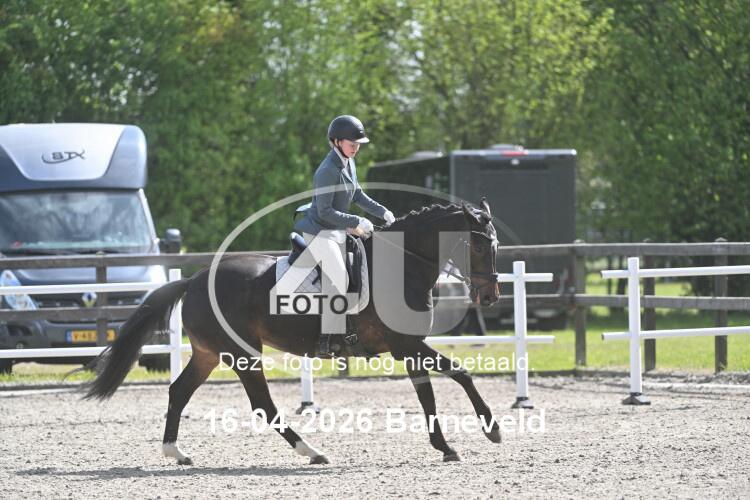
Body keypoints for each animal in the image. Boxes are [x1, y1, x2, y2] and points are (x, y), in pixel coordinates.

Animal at [83, 199, 502, 464]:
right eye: (481, 248)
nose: (490, 296)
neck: (402, 264)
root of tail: (194, 280)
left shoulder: (409, 346)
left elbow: (433, 391)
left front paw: (450, 444)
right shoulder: (407, 345)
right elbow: (456, 376)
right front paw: (490, 430)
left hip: (208, 354)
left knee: (179, 392)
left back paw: (176, 452)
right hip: (243, 354)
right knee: (263, 405)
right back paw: (312, 452)